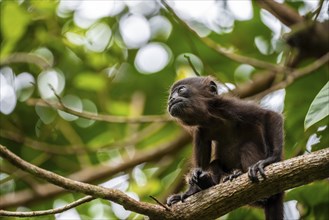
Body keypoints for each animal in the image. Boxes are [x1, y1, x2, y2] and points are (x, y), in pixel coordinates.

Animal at [167, 76, 282, 219]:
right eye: (170, 96)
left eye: (181, 90)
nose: (170, 100)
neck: (211, 118)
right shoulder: (201, 130)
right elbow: (202, 160)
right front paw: (190, 191)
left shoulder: (227, 106)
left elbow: (269, 115)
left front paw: (270, 160)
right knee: (215, 163)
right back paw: (209, 181)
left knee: (247, 147)